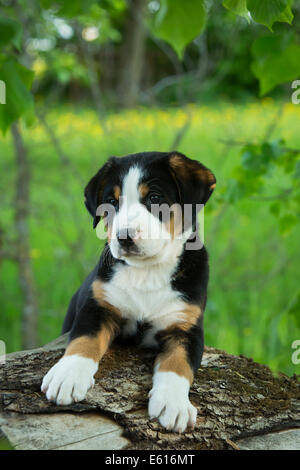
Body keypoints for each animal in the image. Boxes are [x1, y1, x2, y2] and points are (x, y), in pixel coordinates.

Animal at [41, 151, 216, 434]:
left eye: (154, 198)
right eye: (112, 202)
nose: (124, 237)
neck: (147, 272)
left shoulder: (186, 327)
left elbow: (178, 364)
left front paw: (173, 404)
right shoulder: (98, 307)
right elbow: (84, 340)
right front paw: (67, 375)